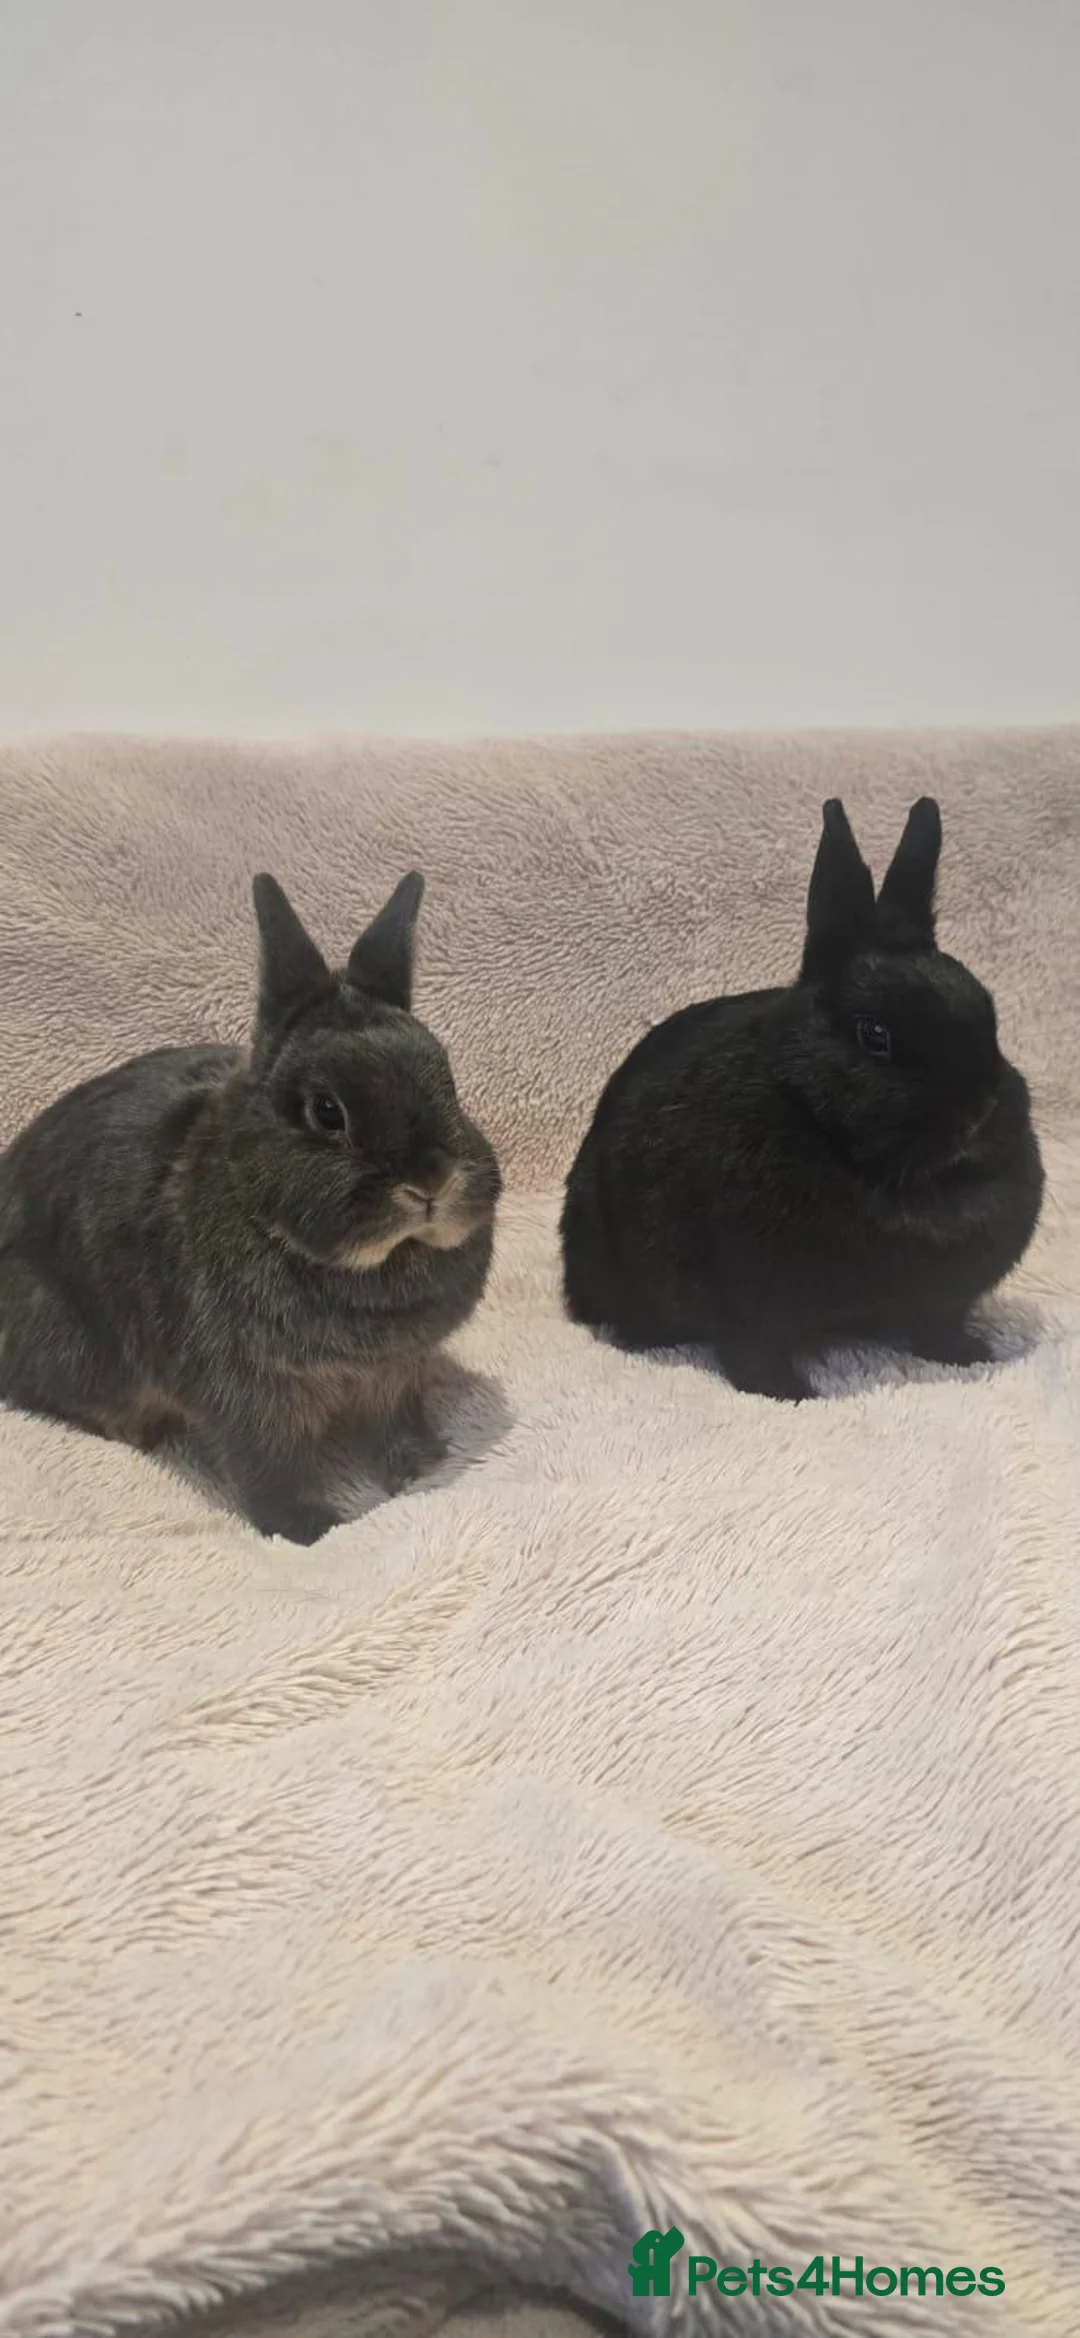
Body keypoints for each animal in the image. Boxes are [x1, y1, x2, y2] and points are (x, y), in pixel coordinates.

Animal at [0, 870, 502, 1541]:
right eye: (327, 1111)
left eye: (447, 1079)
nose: (431, 1183)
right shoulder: (244, 1394)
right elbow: (268, 1465)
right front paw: (311, 1528)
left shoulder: (395, 1373)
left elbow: (396, 1420)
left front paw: (420, 1466)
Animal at [561, 797, 1044, 1400]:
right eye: (874, 1034)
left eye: (989, 1014)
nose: (978, 1115)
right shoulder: (744, 1296)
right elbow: (752, 1351)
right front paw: (790, 1393)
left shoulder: (943, 1299)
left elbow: (937, 1327)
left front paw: (968, 1354)